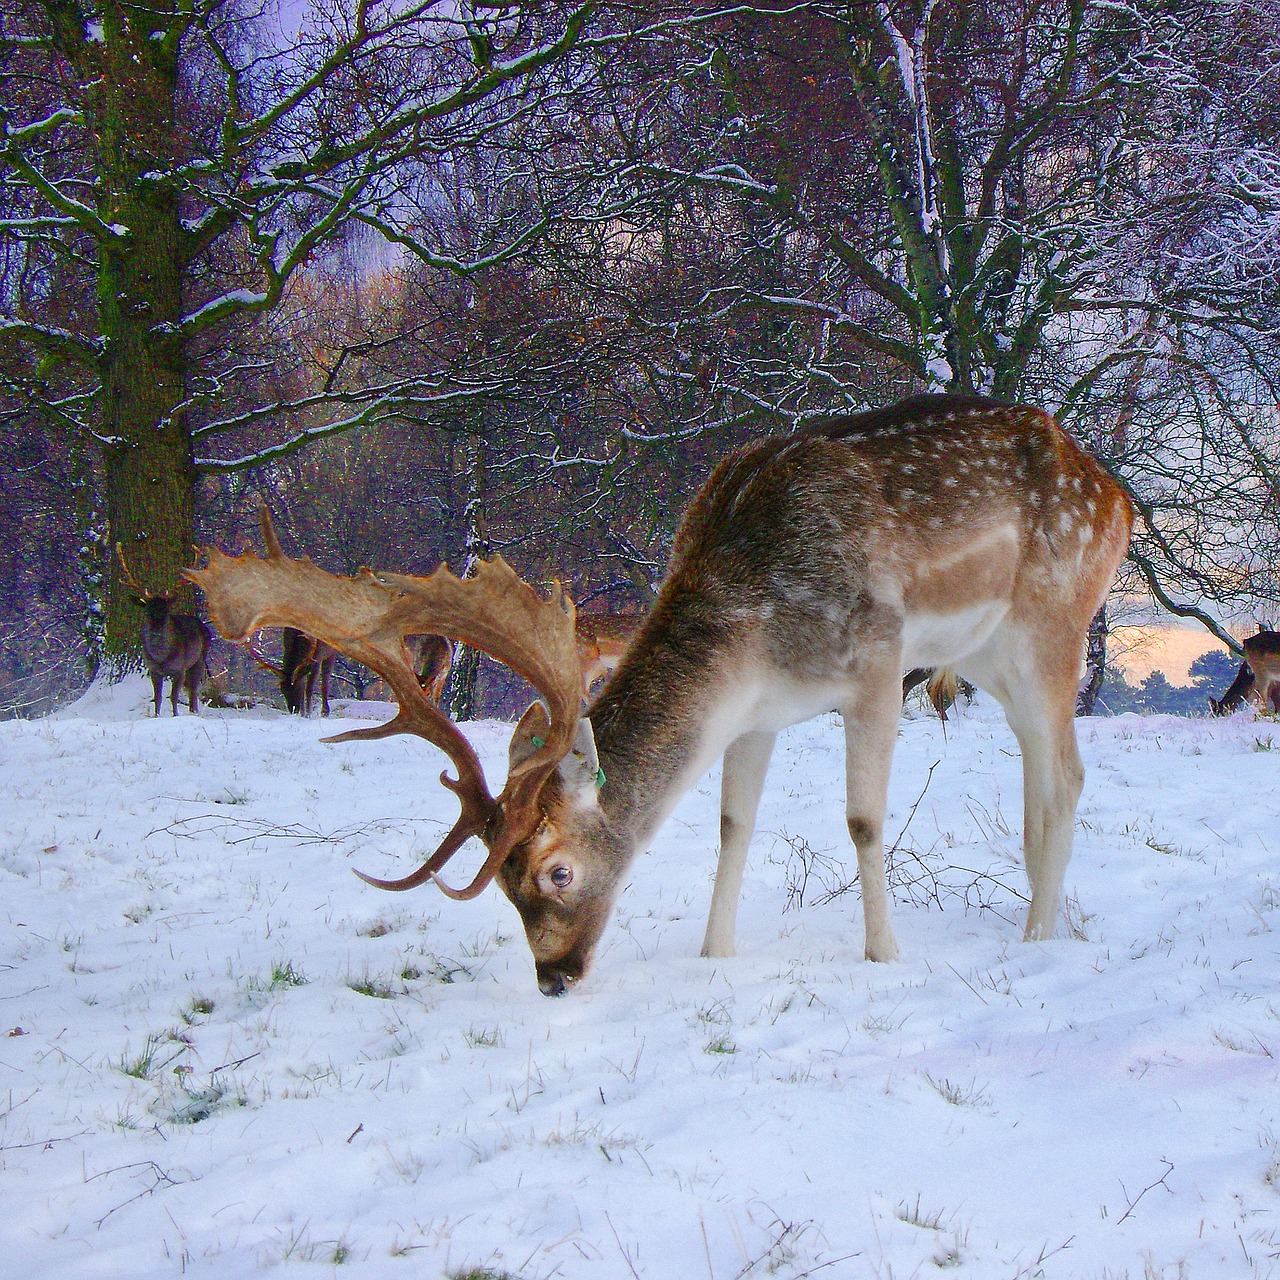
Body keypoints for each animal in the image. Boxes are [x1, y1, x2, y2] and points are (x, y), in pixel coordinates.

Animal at [116, 545, 211, 716]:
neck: (162, 657)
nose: (157, 629)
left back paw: (194, 711)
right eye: (147, 610)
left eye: (166, 610)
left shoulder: (179, 669)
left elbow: (173, 696)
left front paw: (175, 716)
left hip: (199, 659)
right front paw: (156, 716)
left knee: (193, 689)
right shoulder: (153, 670)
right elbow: (158, 697)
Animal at [186, 394, 1131, 993]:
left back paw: (1038, 937)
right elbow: (732, 823)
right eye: (503, 887)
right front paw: (715, 953)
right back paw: (1037, 922)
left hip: (1053, 620)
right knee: (1040, 771)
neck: (754, 624)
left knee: (1070, 772)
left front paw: (884, 956)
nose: (554, 979)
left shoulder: (875, 664)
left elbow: (863, 820)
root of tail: (1118, 494)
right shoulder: (758, 715)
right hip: (988, 656)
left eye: (557, 871)